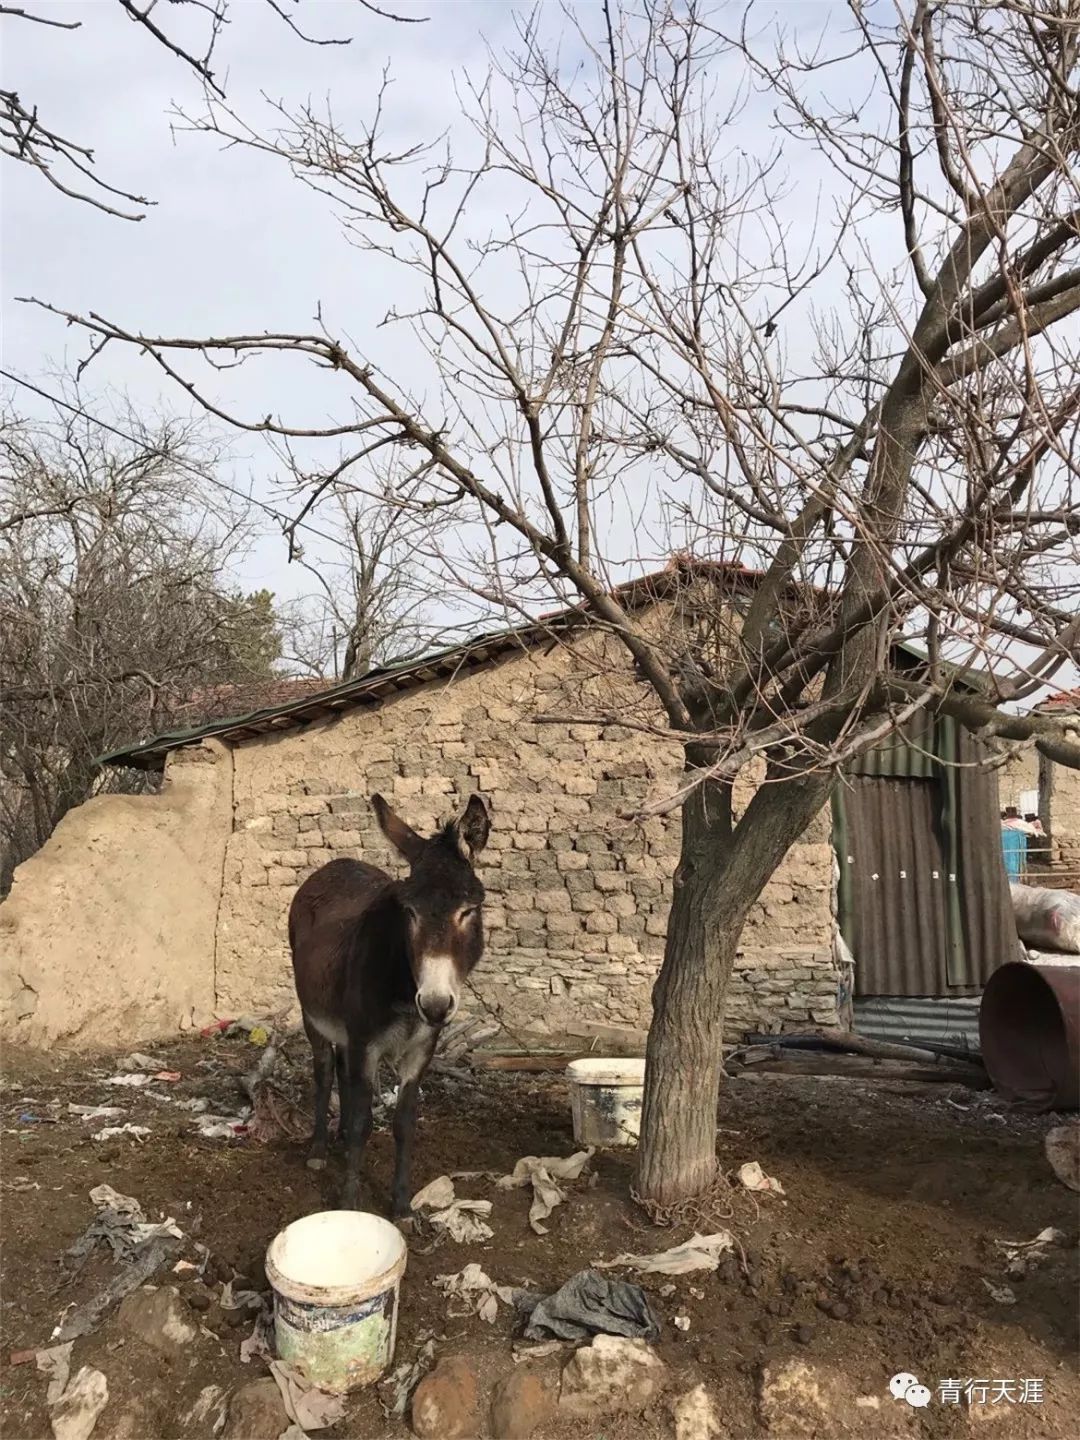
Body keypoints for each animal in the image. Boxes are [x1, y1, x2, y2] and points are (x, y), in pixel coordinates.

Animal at [287, 791, 490, 1215]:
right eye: (408, 912)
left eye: (468, 911)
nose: (434, 1005)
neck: (405, 991)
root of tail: (336, 864)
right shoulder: (366, 1043)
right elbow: (364, 1123)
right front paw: (349, 1202)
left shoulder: (420, 1050)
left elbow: (403, 1123)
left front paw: (401, 1206)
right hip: (312, 1015)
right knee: (325, 1070)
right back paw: (318, 1148)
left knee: (342, 1072)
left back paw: (338, 1137)